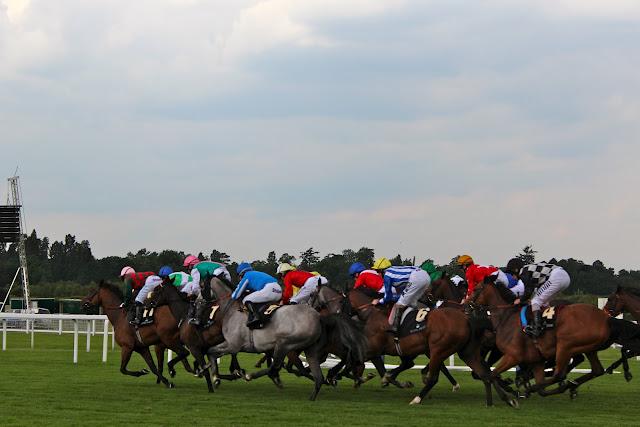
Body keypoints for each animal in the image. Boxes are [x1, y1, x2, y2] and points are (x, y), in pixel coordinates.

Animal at [205, 280, 364, 400]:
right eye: (343, 301)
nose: (350, 313)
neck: (232, 309)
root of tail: (318, 317)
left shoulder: (233, 345)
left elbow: (211, 351)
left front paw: (216, 377)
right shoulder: (234, 346)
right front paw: (216, 375)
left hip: (284, 344)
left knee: (275, 367)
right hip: (308, 349)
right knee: (338, 362)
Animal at [464, 280, 640, 400]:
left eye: (477, 289)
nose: (465, 304)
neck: (506, 317)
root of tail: (606, 318)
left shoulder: (513, 355)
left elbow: (492, 374)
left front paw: (515, 389)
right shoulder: (535, 359)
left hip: (565, 345)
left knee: (560, 373)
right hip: (589, 347)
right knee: (596, 370)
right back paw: (570, 385)